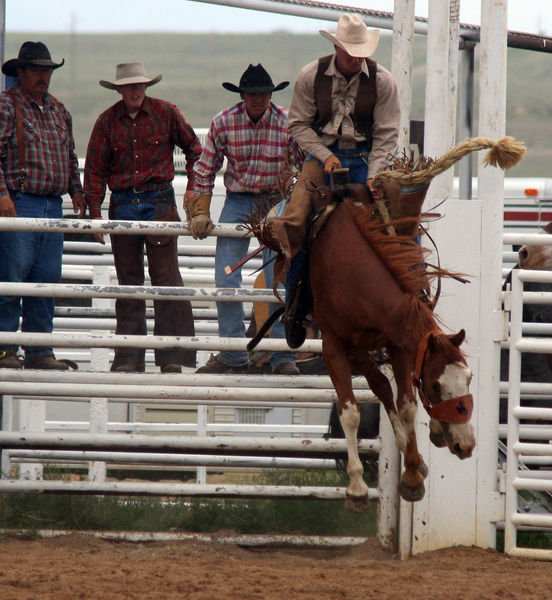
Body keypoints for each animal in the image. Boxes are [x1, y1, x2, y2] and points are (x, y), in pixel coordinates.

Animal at [310, 184, 474, 510]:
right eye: (436, 386)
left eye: (469, 377)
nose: (466, 444)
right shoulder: (334, 345)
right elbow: (351, 412)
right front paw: (357, 488)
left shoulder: (398, 343)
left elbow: (407, 404)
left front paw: (411, 475)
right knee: (380, 385)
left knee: (387, 388)